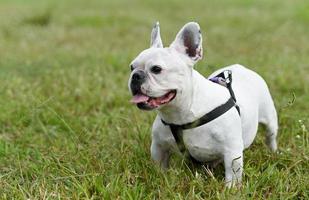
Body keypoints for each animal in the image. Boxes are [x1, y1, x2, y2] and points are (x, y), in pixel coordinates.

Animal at [127, 22, 276, 188]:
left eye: (156, 69)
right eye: (131, 67)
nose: (136, 76)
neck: (181, 116)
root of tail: (242, 68)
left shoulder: (232, 152)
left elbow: (232, 174)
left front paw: (230, 189)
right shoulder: (159, 147)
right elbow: (160, 166)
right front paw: (160, 179)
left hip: (270, 119)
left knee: (270, 135)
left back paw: (273, 152)